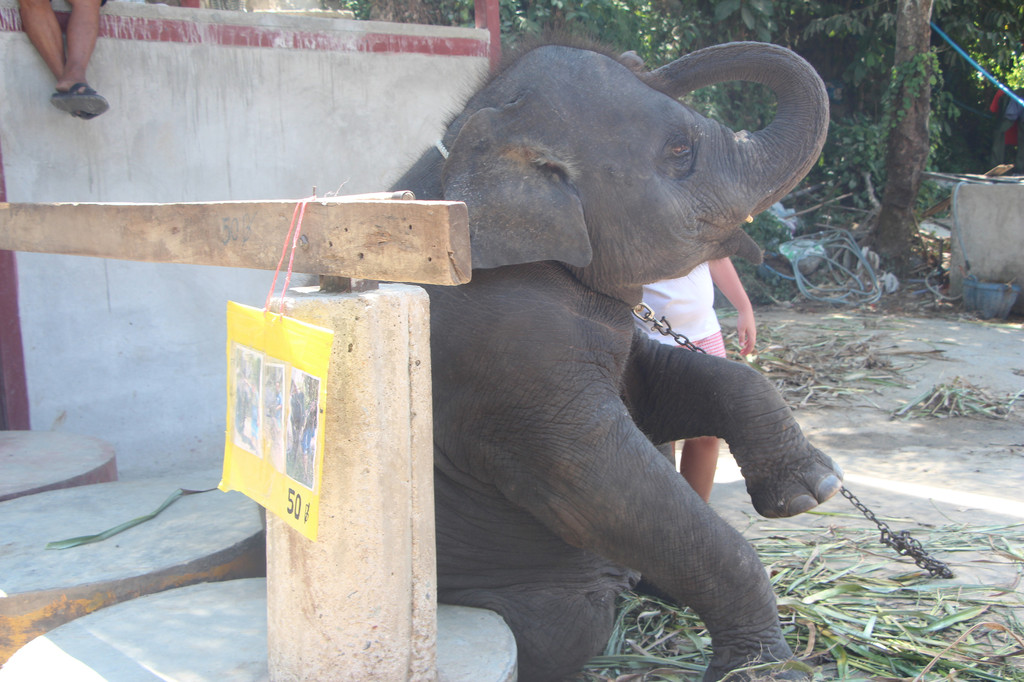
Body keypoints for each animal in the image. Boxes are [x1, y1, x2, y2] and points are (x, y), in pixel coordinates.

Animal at [387, 35, 843, 679]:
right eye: (680, 151)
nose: (637, 58)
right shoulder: (508, 361)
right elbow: (600, 481)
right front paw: (763, 670)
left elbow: (667, 389)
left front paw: (814, 490)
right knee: (572, 622)